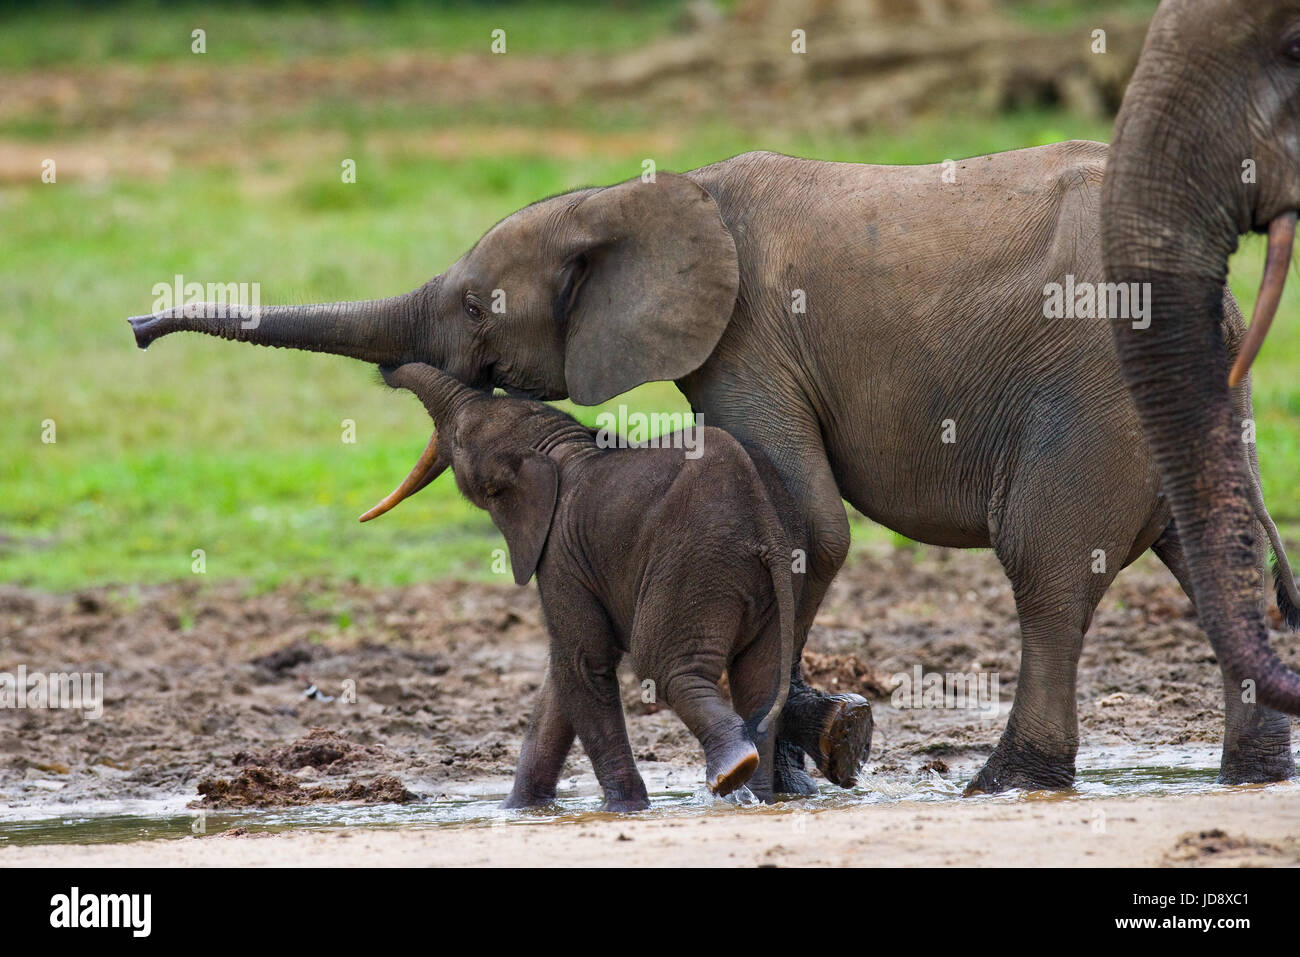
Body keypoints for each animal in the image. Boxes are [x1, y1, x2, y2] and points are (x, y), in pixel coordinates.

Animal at [378, 360, 833, 810]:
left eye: (456, 438)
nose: (385, 371)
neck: (557, 447)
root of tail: (765, 525)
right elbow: (562, 679)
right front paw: (519, 809)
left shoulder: (560, 554)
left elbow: (582, 661)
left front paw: (625, 809)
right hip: (771, 580)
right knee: (760, 679)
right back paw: (754, 796)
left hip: (695, 565)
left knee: (663, 667)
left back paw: (732, 771)